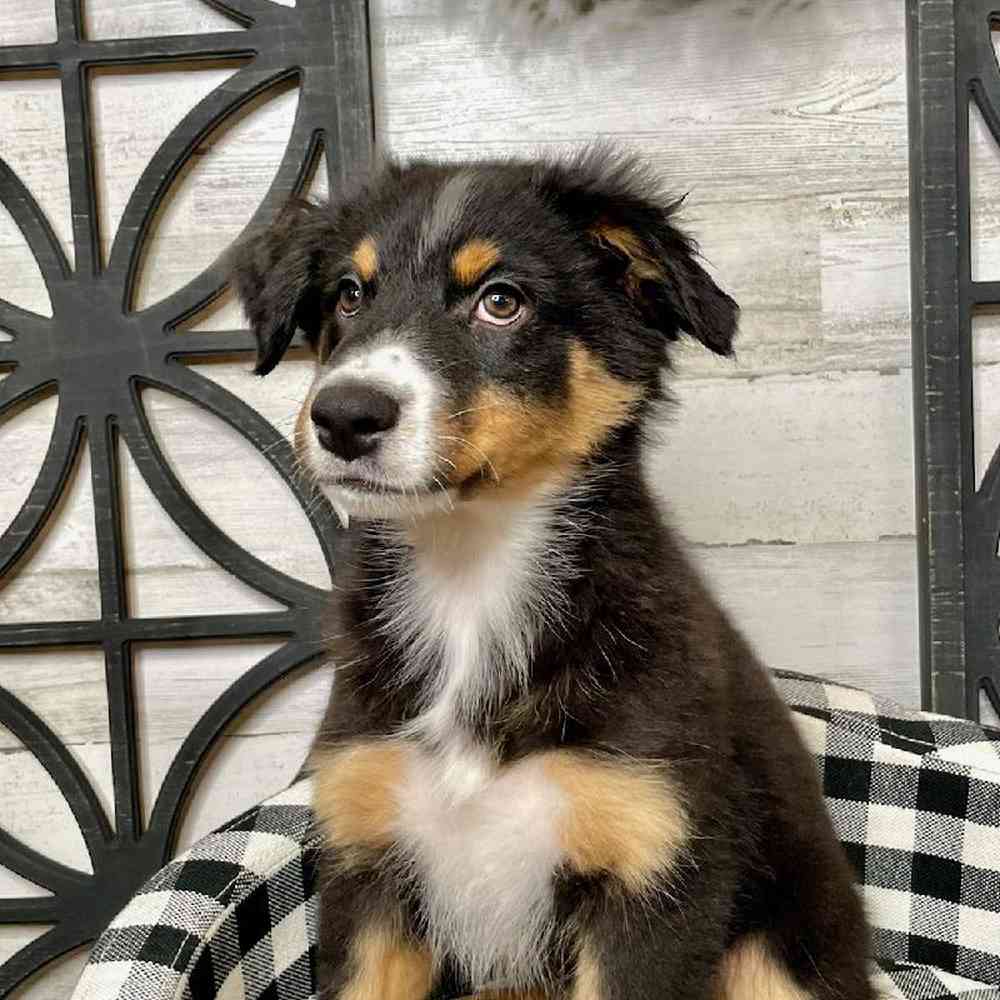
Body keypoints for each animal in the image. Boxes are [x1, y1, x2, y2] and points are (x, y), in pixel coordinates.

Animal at [230, 148, 872, 1000]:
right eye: (349, 293)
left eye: (503, 301)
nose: (345, 415)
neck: (470, 577)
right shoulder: (367, 863)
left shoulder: (653, 871)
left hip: (777, 949)